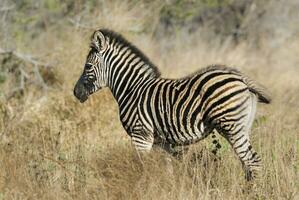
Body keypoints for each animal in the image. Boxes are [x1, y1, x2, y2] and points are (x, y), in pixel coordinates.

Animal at [73, 28, 272, 180]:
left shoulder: (140, 135)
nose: (75, 93)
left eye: (88, 67)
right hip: (243, 126)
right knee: (248, 163)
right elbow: (167, 169)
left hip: (232, 126)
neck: (132, 88)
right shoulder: (161, 141)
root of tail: (241, 78)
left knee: (253, 162)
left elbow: (142, 167)